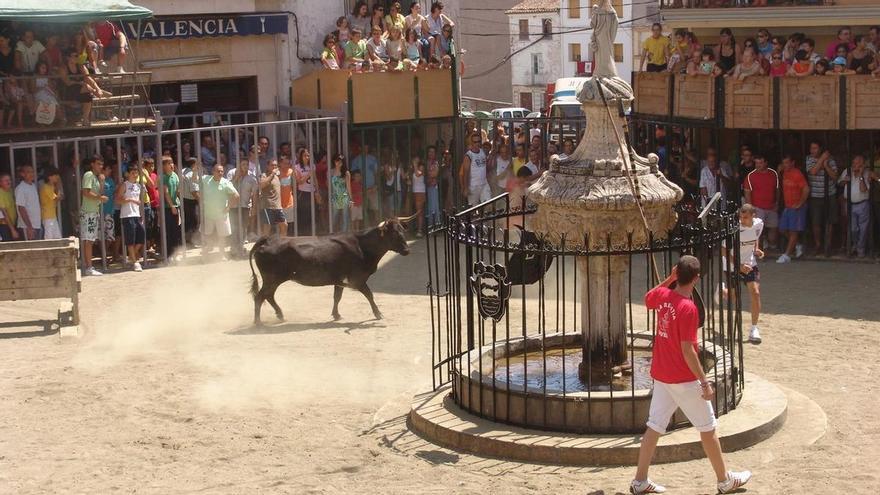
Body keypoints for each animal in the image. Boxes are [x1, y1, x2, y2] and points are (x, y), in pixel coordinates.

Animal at [248, 217, 412, 326]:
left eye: (402, 231)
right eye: (394, 234)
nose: (407, 250)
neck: (362, 245)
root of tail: (268, 240)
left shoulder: (339, 281)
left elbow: (337, 297)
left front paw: (336, 315)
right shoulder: (357, 280)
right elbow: (369, 295)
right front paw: (378, 314)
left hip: (273, 280)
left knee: (268, 296)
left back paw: (280, 315)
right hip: (272, 279)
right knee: (260, 297)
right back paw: (258, 323)